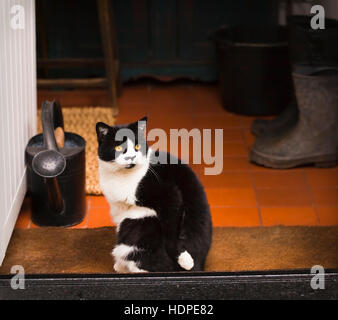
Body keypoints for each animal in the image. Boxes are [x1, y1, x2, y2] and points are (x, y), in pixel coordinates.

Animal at [95, 117, 211, 272]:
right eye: (118, 148)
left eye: (137, 146)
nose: (131, 157)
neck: (122, 177)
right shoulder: (118, 209)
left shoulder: (170, 195)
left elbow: (170, 232)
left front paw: (184, 258)